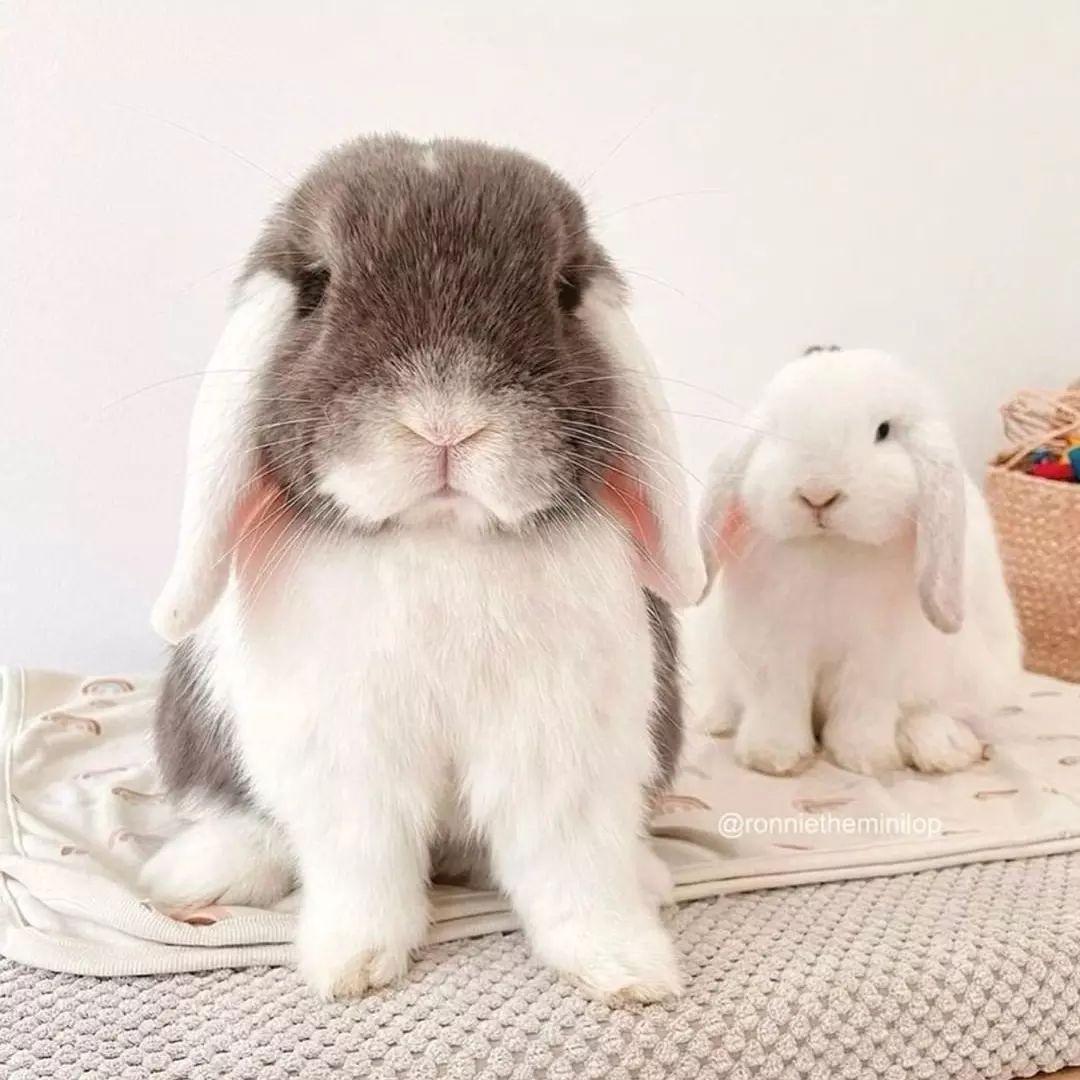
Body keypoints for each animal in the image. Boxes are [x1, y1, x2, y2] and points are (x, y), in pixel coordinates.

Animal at [138, 135, 705, 1003]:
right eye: (316, 286)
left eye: (563, 290)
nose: (447, 424)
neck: (439, 541)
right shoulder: (348, 760)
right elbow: (363, 868)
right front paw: (352, 963)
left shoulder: (565, 754)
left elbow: (574, 870)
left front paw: (625, 967)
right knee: (246, 820)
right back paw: (198, 874)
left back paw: (646, 878)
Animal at [685, 346, 1022, 779]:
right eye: (775, 429)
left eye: (884, 431)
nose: (817, 495)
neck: (832, 546)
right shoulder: (773, 646)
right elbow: (776, 699)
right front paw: (773, 757)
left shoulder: (878, 656)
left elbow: (865, 705)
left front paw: (865, 759)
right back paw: (714, 718)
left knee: (933, 711)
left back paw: (942, 748)